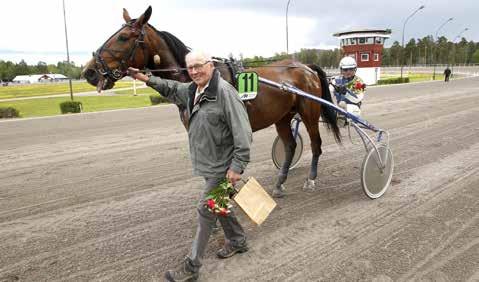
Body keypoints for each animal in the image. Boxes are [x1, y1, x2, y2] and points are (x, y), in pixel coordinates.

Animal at [82, 6, 342, 194]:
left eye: (124, 37)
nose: (89, 71)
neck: (196, 79)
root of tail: (304, 66)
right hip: (283, 116)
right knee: (290, 146)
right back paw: (279, 183)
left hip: (309, 112)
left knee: (316, 144)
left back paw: (310, 179)